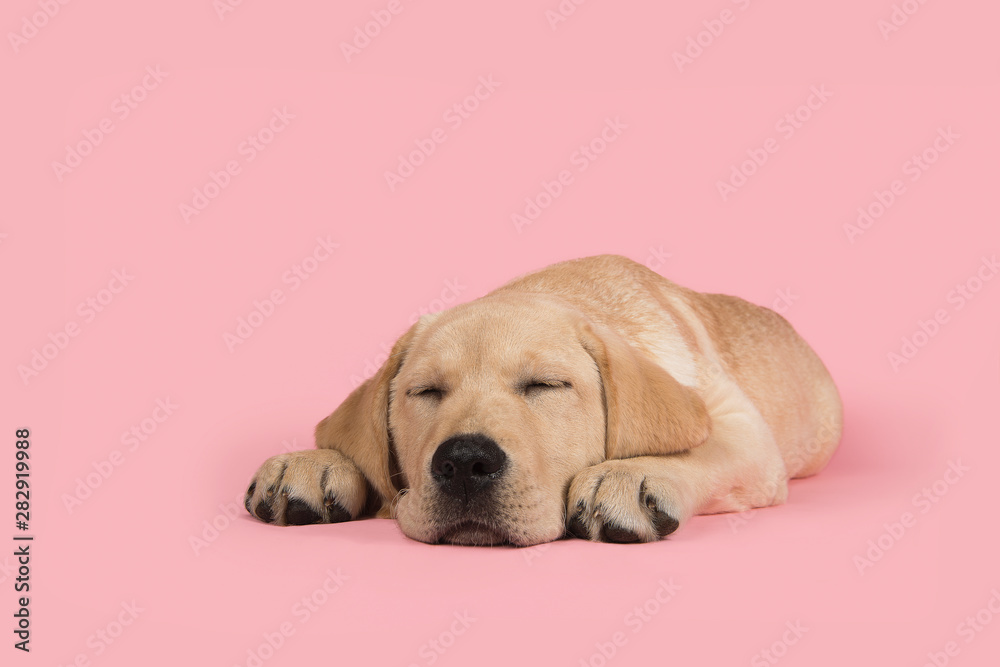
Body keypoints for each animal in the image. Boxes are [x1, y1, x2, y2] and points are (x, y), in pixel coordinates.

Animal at [244, 253, 844, 544]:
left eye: (545, 386)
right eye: (426, 392)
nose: (464, 461)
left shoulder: (744, 432)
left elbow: (702, 449)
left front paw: (631, 473)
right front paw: (316, 461)